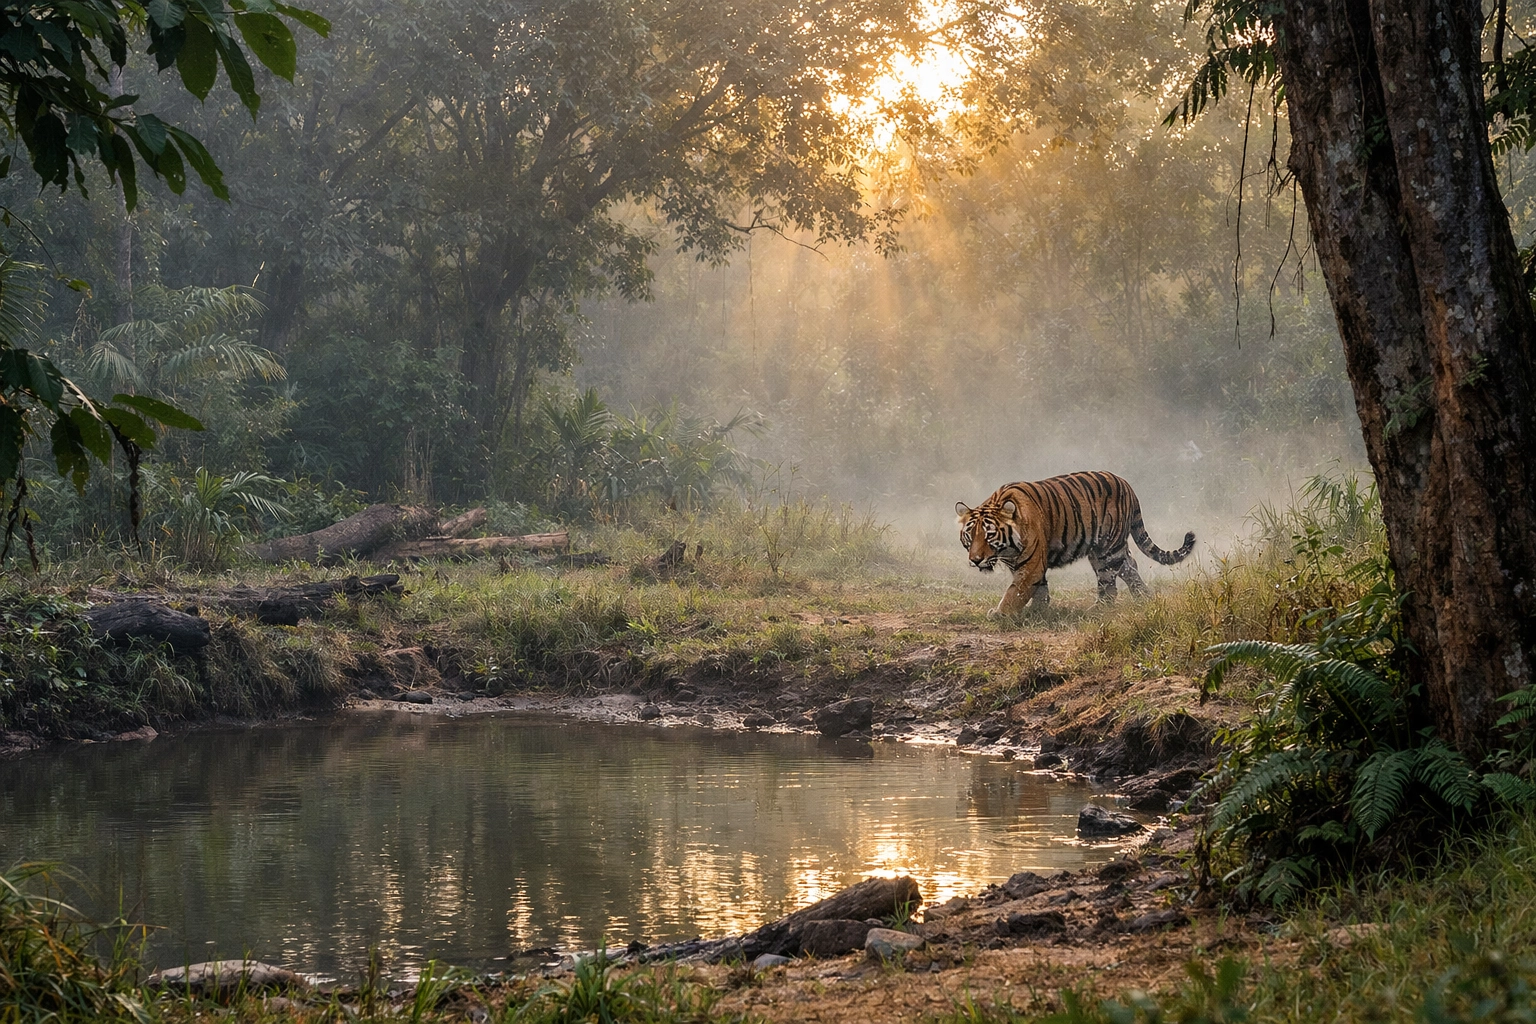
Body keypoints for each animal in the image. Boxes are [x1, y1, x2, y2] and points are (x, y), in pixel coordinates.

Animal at [955, 470, 1195, 616]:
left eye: (989, 536)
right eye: (970, 537)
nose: (975, 560)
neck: (1007, 550)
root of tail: (1126, 484)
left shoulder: (1031, 565)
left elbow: (1016, 592)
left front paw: (1001, 613)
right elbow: (1039, 589)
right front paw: (1039, 610)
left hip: (1106, 551)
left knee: (1109, 584)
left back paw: (1099, 609)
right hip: (1108, 550)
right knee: (1130, 567)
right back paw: (1144, 597)